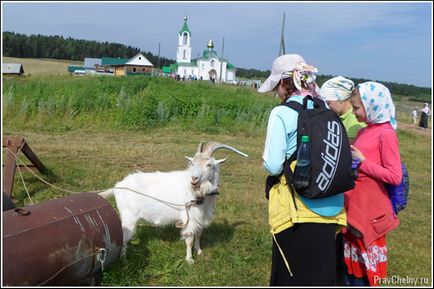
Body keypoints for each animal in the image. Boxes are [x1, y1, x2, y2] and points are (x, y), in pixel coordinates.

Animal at [98, 141, 248, 262]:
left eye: (209, 164)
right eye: (192, 163)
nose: (194, 179)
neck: (196, 192)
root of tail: (117, 186)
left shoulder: (200, 219)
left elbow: (199, 235)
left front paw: (199, 252)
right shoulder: (189, 218)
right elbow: (190, 240)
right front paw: (189, 260)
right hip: (129, 216)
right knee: (124, 236)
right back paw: (123, 259)